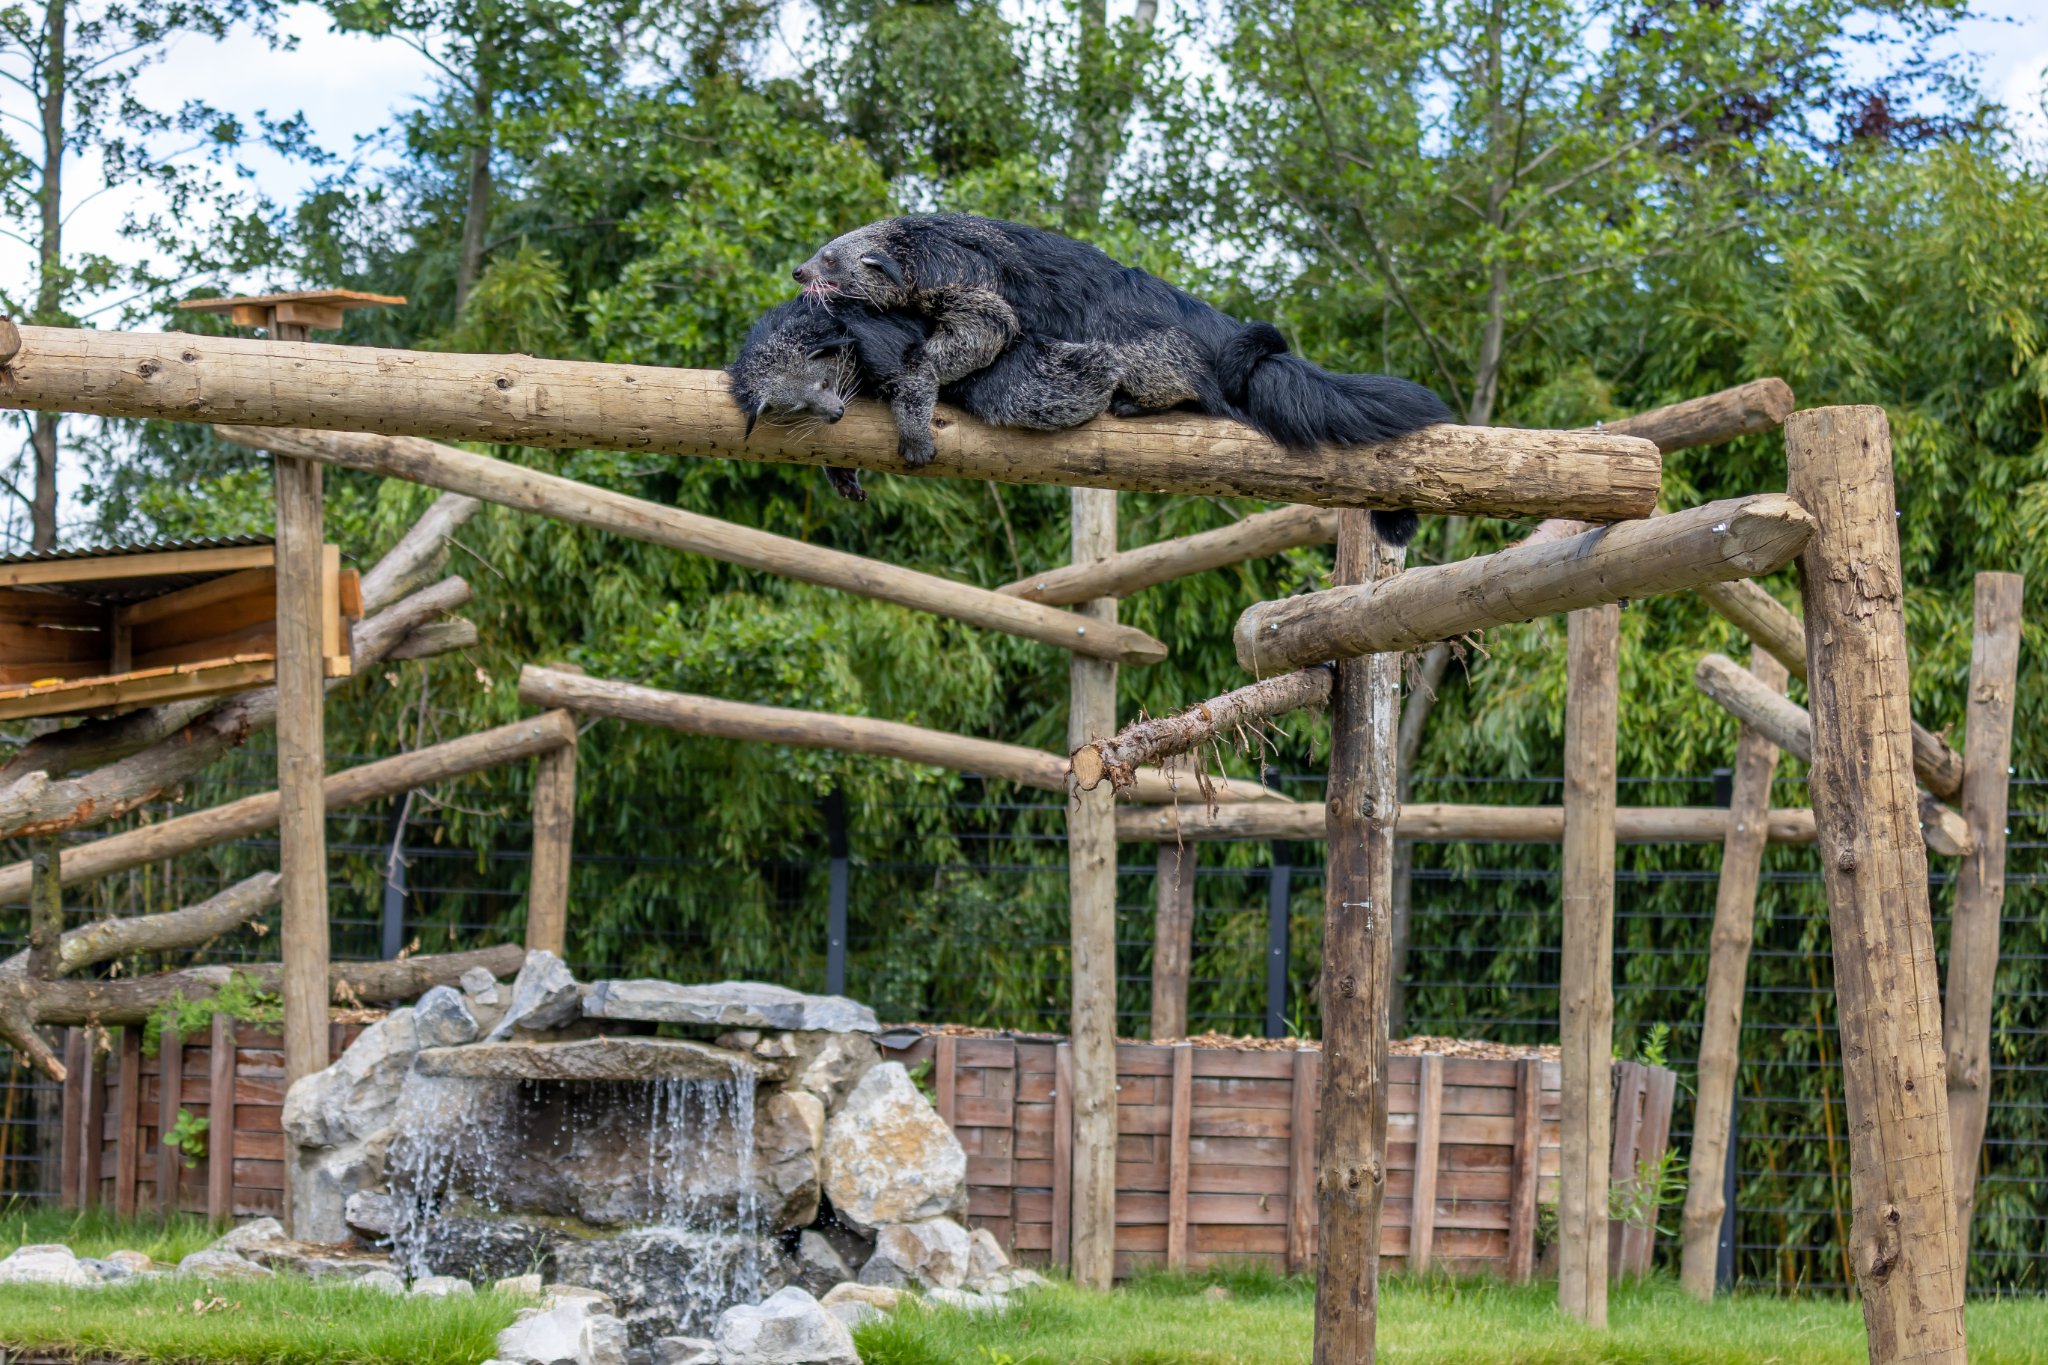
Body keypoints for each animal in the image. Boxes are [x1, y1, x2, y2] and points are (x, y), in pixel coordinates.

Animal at [792, 213, 1453, 544]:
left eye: (829, 259)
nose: (800, 270)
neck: (907, 244)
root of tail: (1219, 331)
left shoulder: (956, 272)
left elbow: (990, 325)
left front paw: (918, 383)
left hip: (1150, 346)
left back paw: (1143, 402)